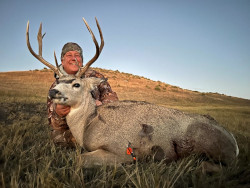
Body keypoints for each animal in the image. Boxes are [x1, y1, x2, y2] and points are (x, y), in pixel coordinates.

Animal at [26, 17, 239, 167]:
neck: (88, 125)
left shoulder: (122, 152)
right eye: (57, 80)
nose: (53, 93)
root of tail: (234, 145)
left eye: (76, 84)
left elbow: (78, 160)